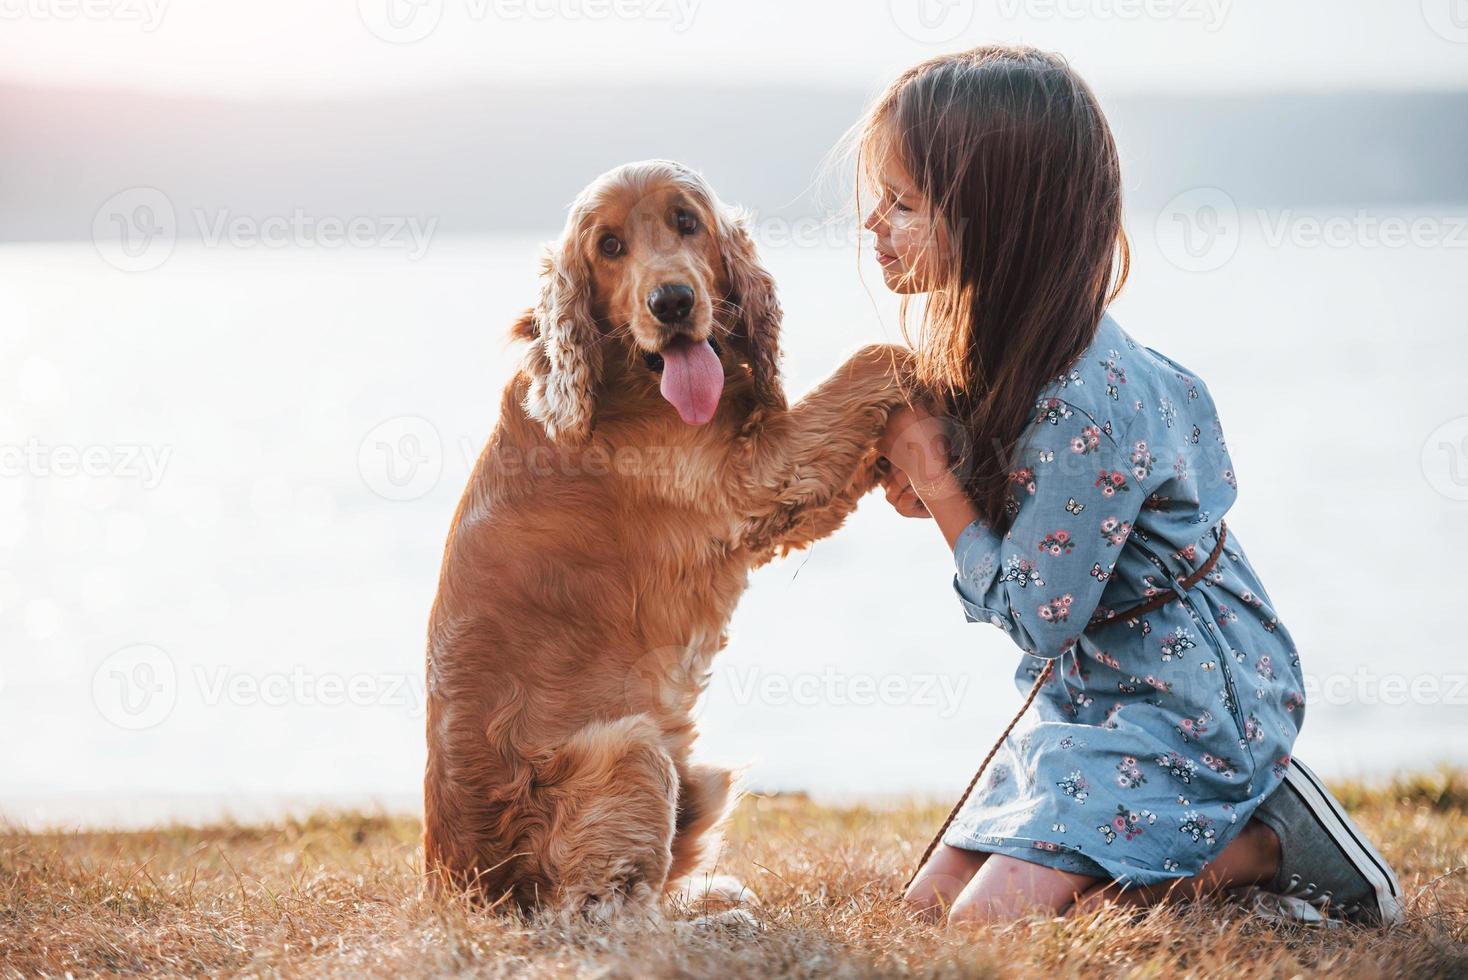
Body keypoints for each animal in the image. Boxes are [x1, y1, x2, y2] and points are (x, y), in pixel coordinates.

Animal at [422, 160, 904, 921]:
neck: (620, 380)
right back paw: (723, 922)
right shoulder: (750, 480)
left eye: (686, 222)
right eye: (609, 246)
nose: (673, 302)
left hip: (694, 777)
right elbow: (876, 357)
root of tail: (461, 890)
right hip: (633, 752)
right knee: (605, 915)